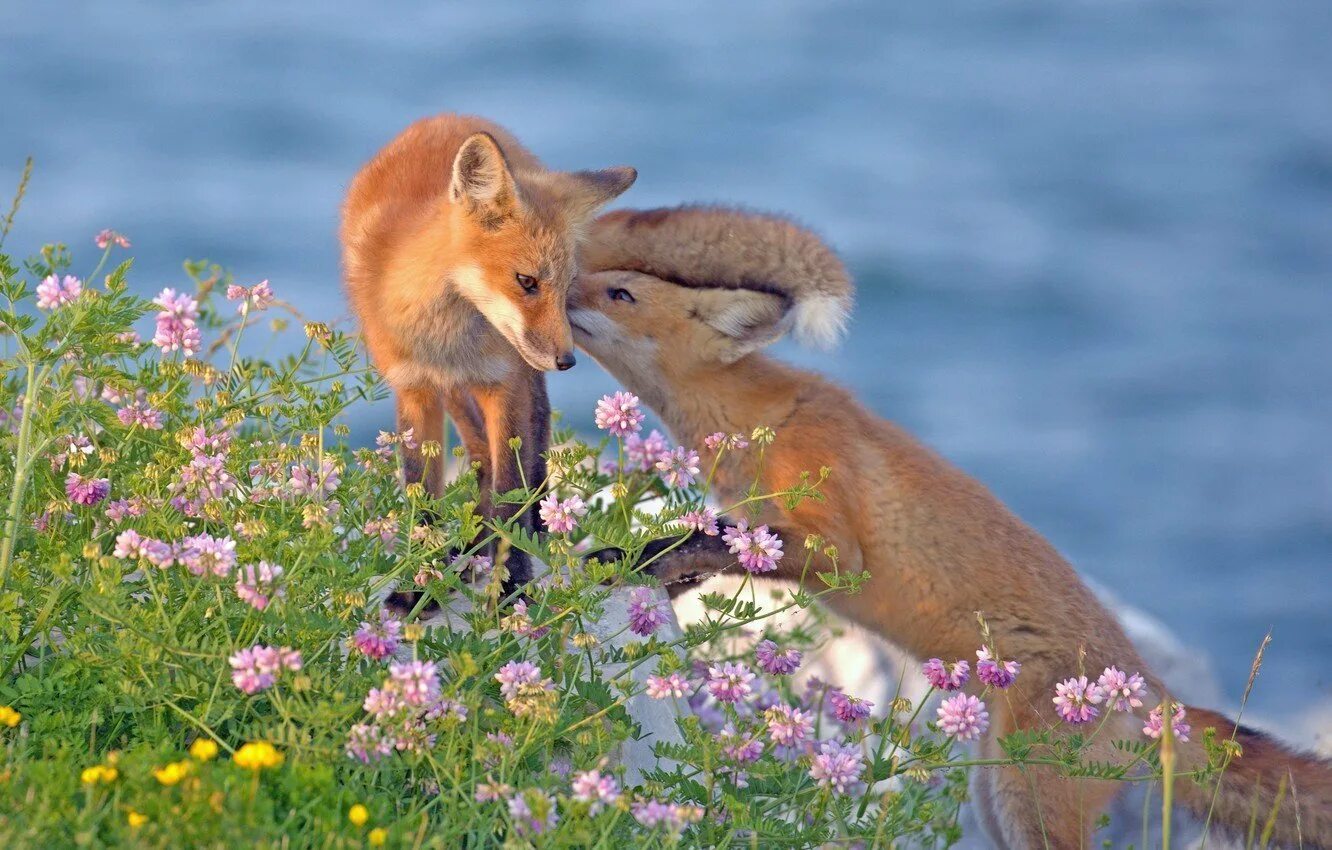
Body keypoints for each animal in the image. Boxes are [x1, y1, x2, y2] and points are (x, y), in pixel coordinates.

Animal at [340, 113, 636, 591]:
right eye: (526, 281)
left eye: (566, 286)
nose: (567, 361)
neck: (447, 338)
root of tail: (446, 116)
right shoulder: (414, 388)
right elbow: (421, 491)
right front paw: (419, 583)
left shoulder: (505, 381)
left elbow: (509, 489)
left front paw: (513, 578)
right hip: (460, 390)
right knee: (478, 451)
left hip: (521, 378)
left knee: (531, 452)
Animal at [570, 206, 1332, 850]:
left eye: (620, 294)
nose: (554, 282)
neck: (760, 420)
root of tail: (1147, 691)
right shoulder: (759, 527)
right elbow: (698, 549)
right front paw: (633, 567)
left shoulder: (834, 547)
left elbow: (704, 542)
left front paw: (637, 558)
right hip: (997, 796)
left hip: (1025, 798)